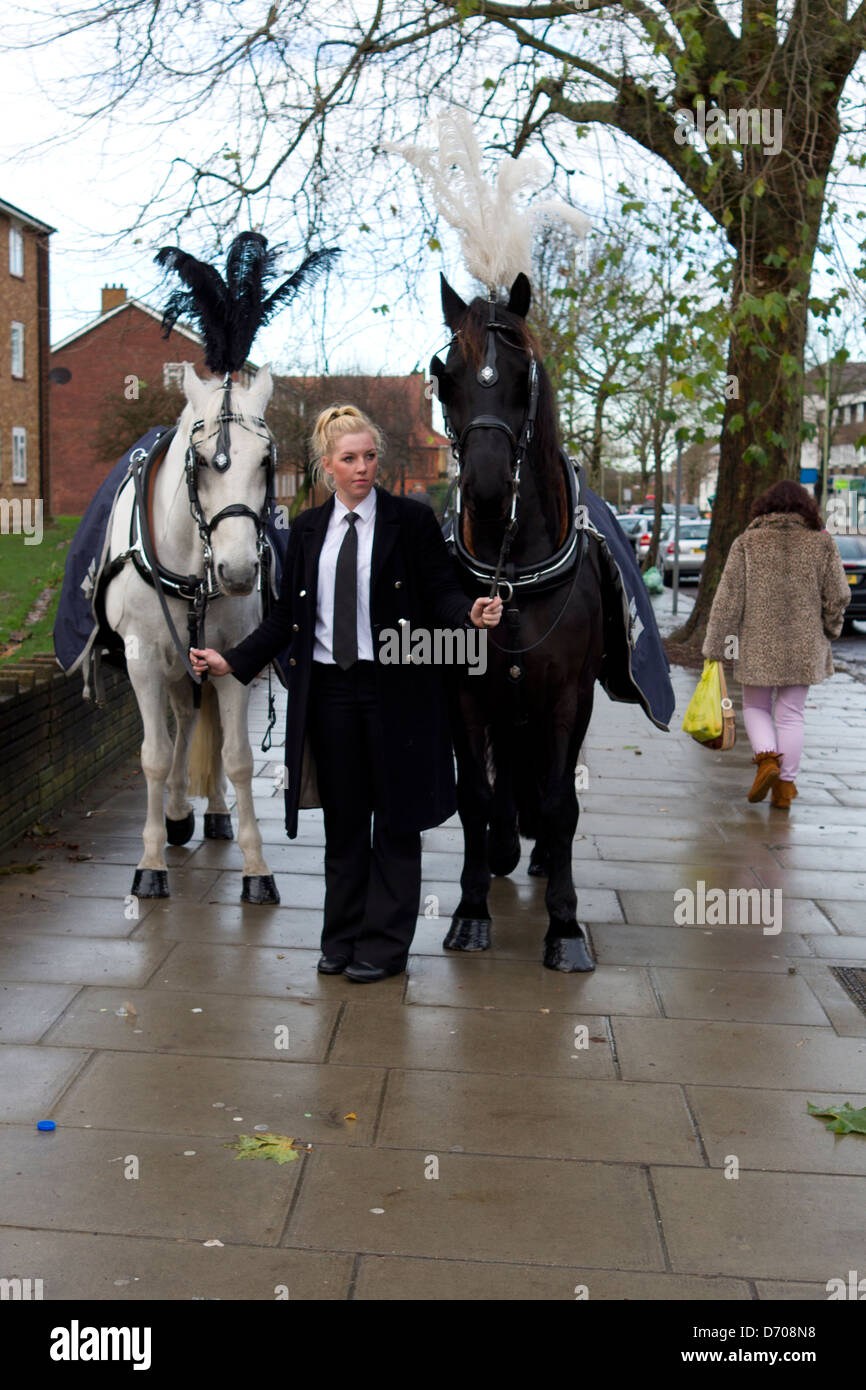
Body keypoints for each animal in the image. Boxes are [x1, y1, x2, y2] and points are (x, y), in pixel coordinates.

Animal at [103, 361, 280, 900]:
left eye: (265, 461)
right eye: (201, 462)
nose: (239, 572)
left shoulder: (234, 657)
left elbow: (238, 756)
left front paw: (256, 867)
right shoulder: (142, 660)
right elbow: (155, 756)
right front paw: (150, 863)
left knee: (203, 724)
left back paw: (212, 813)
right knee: (183, 722)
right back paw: (178, 812)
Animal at [430, 268, 606, 967]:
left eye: (521, 374)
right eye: (446, 376)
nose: (483, 488)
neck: (515, 574)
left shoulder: (567, 696)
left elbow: (560, 800)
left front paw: (565, 924)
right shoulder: (465, 693)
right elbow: (474, 795)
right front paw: (471, 910)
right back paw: (508, 844)